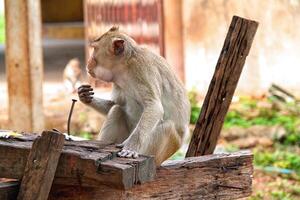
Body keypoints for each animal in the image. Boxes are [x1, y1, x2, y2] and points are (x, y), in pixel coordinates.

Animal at [77, 26, 190, 166]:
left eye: (94, 49)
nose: (89, 62)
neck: (125, 67)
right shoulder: (118, 82)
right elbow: (116, 104)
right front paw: (85, 96)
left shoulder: (142, 69)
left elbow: (154, 107)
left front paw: (131, 147)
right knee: (117, 110)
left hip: (158, 153)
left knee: (168, 127)